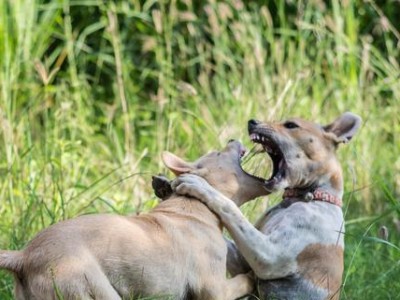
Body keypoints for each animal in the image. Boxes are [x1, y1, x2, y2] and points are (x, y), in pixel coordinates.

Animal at [0, 141, 268, 300]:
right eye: (219, 152)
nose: (233, 139)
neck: (195, 204)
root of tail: (23, 257)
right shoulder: (215, 289)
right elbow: (242, 281)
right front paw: (253, 278)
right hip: (92, 287)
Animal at [172, 113, 362, 300]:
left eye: (291, 125)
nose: (252, 121)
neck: (310, 197)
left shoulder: (270, 257)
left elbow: (230, 207)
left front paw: (199, 185)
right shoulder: (244, 261)